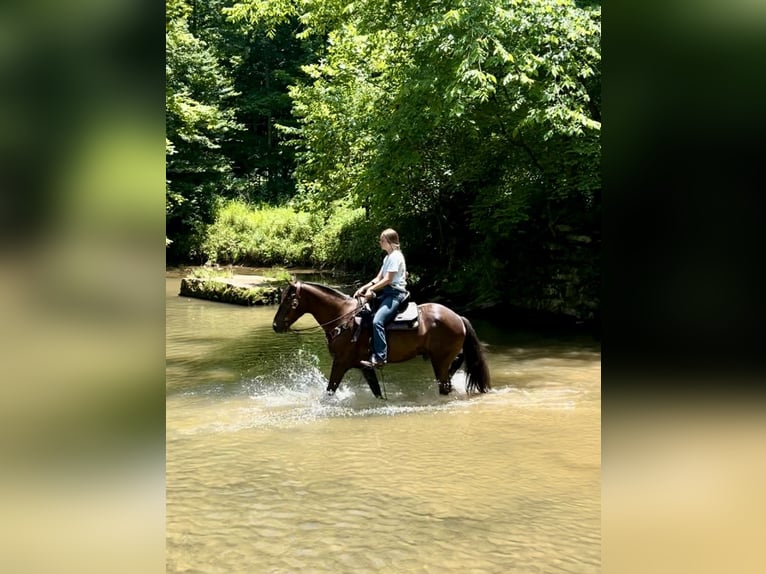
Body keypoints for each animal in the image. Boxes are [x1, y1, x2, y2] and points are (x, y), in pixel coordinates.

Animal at [272, 282, 496, 400]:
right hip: (439, 358)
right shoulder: (364, 366)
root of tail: (458, 317)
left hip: (439, 360)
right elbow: (376, 391)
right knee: (455, 364)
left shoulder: (340, 363)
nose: (275, 325)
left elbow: (330, 390)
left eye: (290, 302)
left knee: (445, 383)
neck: (343, 317)